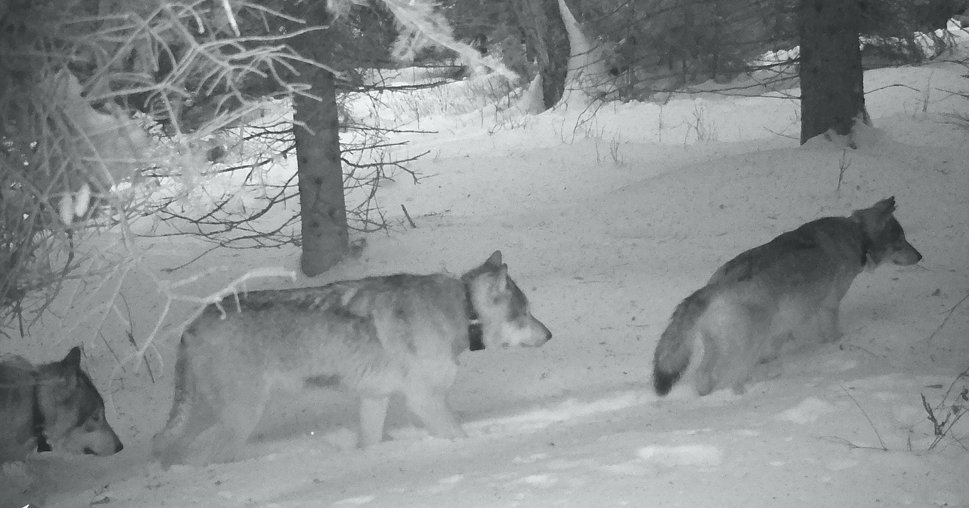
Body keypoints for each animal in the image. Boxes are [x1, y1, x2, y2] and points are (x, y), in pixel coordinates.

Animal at [152, 250, 552, 466]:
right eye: (527, 313)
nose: (550, 335)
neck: (460, 310)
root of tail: (191, 325)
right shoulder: (424, 400)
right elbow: (459, 435)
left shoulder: (375, 398)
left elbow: (370, 443)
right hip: (241, 417)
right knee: (193, 455)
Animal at [653, 197, 922, 397]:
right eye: (901, 241)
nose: (921, 256)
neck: (857, 234)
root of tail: (714, 287)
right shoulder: (829, 306)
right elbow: (832, 335)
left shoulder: (787, 321)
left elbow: (776, 345)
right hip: (743, 350)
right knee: (732, 379)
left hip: (716, 347)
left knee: (703, 377)